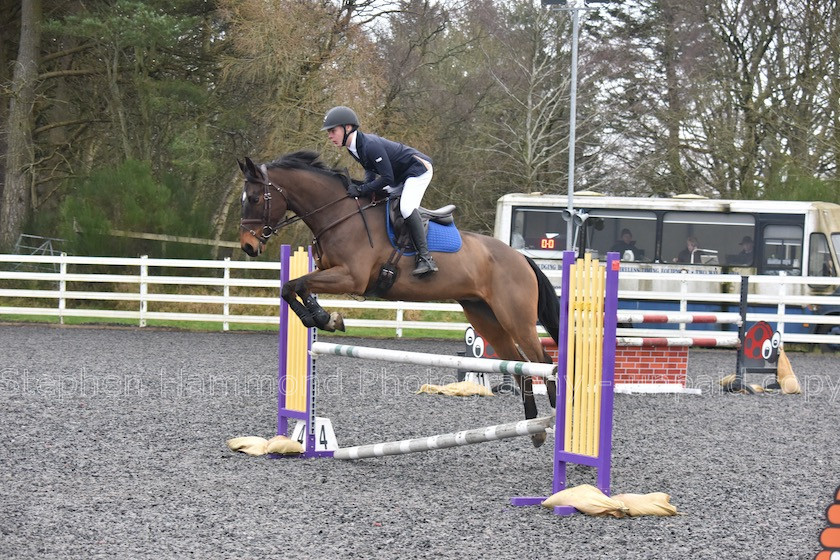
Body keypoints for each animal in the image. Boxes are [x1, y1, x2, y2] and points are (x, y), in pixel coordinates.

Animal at [240, 150, 560, 446]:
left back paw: (556, 415)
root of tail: (520, 257)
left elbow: (295, 284)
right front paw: (324, 318)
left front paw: (322, 318)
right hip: (485, 317)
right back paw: (535, 429)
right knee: (518, 365)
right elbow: (295, 287)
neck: (339, 215)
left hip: (515, 317)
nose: (248, 246)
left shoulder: (351, 277)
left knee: (542, 360)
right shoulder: (327, 271)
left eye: (254, 199)